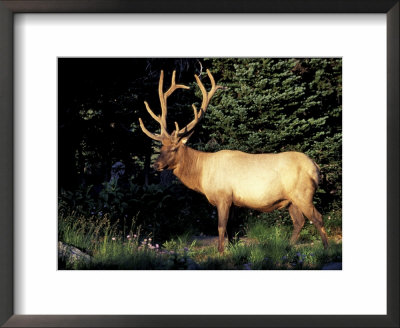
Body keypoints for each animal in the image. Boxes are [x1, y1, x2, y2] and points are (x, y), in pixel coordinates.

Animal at [138, 69, 328, 254]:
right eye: (161, 147)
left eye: (174, 148)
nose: (156, 165)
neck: (202, 175)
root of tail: (316, 168)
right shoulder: (233, 202)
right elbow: (230, 231)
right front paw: (228, 250)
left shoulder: (223, 197)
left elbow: (221, 228)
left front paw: (220, 252)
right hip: (291, 200)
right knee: (299, 222)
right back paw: (286, 247)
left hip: (303, 193)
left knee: (317, 218)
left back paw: (326, 249)